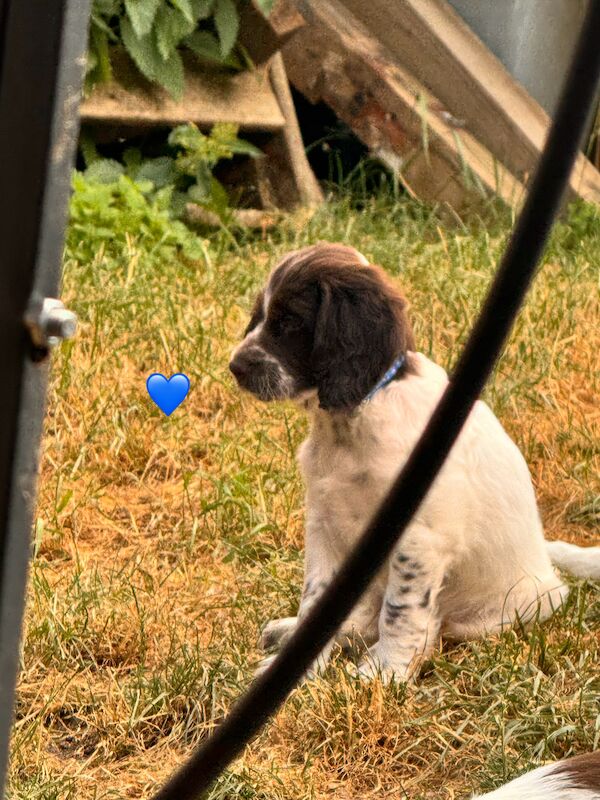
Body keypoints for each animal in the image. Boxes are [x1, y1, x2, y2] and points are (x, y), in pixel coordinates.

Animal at [230, 244, 600, 680]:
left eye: (289, 320)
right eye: (261, 314)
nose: (235, 367)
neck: (353, 421)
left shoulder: (418, 537)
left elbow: (401, 609)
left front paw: (384, 673)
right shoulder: (324, 524)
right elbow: (315, 601)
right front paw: (297, 668)